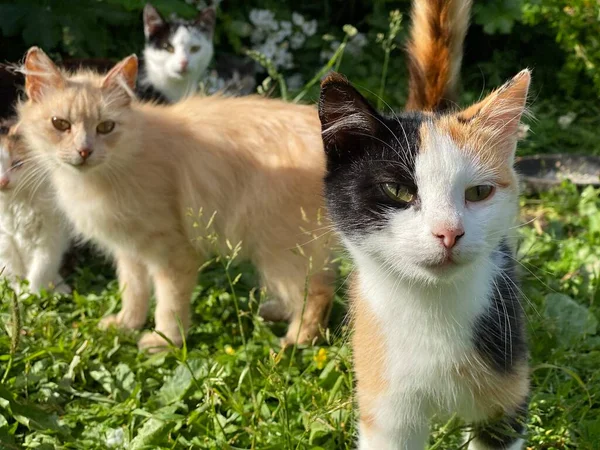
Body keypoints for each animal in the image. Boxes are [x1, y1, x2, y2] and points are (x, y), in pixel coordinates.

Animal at [0, 121, 71, 294]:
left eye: (17, 164)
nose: (3, 181)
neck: (17, 201)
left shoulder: (52, 234)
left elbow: (42, 268)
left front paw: (33, 293)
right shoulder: (4, 238)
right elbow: (13, 267)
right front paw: (18, 290)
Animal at [17, 48, 332, 352]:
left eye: (106, 127)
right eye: (60, 124)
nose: (84, 151)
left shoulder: (173, 253)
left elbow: (169, 305)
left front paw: (165, 341)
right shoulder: (129, 251)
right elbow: (133, 292)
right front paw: (126, 324)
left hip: (278, 249)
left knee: (317, 292)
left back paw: (297, 341)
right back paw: (277, 312)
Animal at [318, 0, 528, 450]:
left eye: (479, 192)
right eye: (398, 190)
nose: (449, 232)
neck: (432, 310)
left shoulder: (505, 390)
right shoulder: (385, 400)